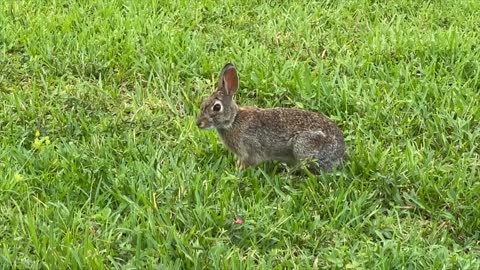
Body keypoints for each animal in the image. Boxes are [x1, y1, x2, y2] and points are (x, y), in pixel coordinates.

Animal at [195, 63, 344, 171]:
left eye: (216, 107)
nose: (198, 123)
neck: (233, 120)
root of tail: (341, 152)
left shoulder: (249, 151)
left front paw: (238, 171)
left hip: (303, 147)